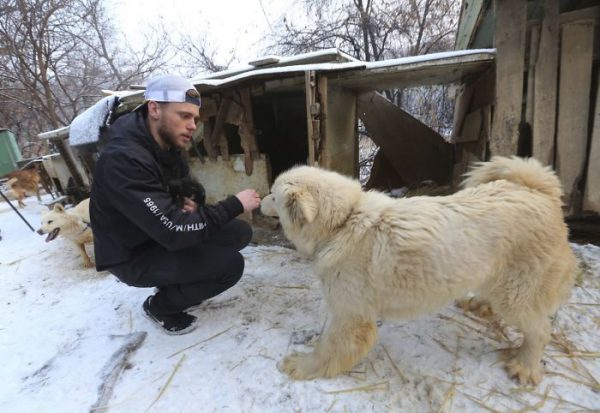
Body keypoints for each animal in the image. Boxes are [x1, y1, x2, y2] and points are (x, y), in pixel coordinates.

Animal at [262, 156, 576, 384]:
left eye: (273, 195)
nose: (258, 198)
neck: (344, 222)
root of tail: (538, 190)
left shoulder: (349, 317)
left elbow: (327, 348)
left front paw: (302, 366)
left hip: (516, 295)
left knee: (540, 331)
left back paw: (525, 366)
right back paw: (478, 305)